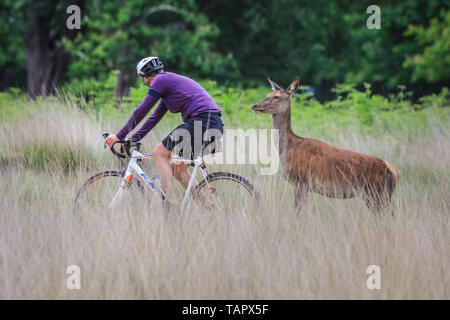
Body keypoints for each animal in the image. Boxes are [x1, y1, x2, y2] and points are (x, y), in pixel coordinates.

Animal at [250, 78, 400, 215]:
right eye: (268, 94)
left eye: (276, 97)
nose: (254, 105)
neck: (290, 148)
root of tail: (394, 171)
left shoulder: (301, 181)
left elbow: (298, 212)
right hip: (374, 195)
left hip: (378, 191)